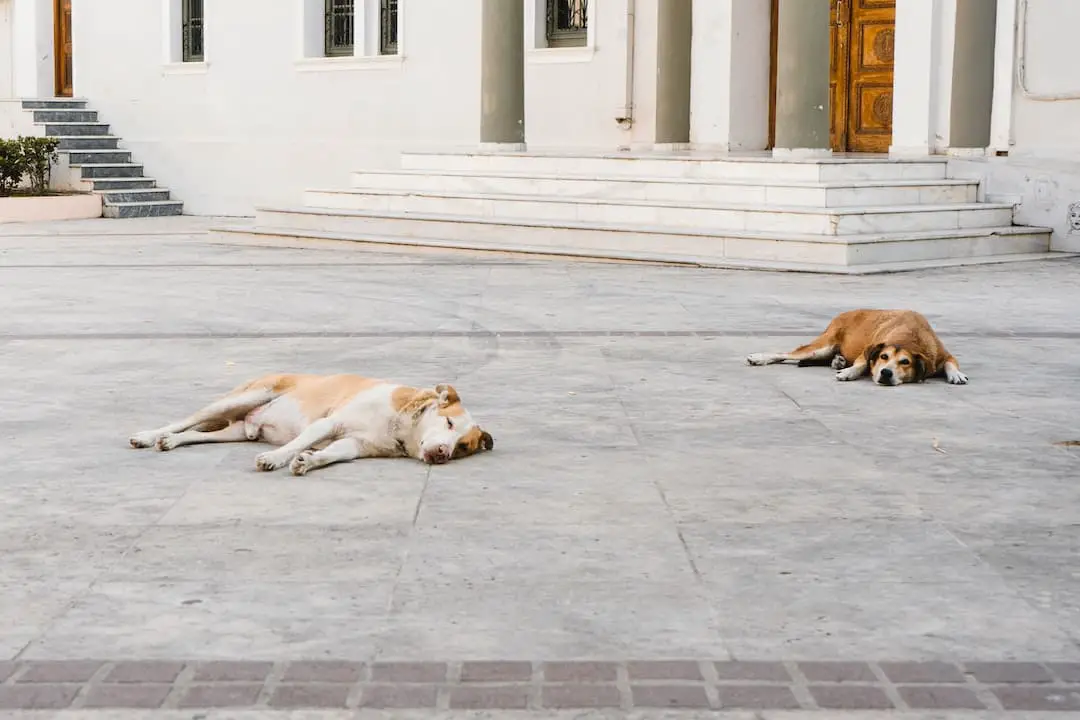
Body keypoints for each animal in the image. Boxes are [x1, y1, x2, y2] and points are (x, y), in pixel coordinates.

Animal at [129, 375, 494, 474]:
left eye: (463, 447)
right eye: (448, 421)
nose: (443, 453)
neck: (402, 425)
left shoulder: (355, 444)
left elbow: (335, 454)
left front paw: (310, 461)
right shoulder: (328, 424)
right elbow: (299, 442)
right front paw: (277, 458)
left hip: (233, 431)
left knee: (196, 434)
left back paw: (171, 442)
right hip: (243, 397)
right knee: (186, 420)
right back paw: (149, 436)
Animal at [747, 310, 967, 388]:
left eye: (905, 362)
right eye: (883, 357)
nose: (886, 373)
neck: (909, 337)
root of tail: (844, 314)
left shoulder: (943, 354)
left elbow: (951, 362)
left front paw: (956, 374)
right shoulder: (868, 351)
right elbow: (862, 363)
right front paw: (849, 372)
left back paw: (839, 360)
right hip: (823, 345)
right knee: (785, 354)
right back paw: (760, 357)